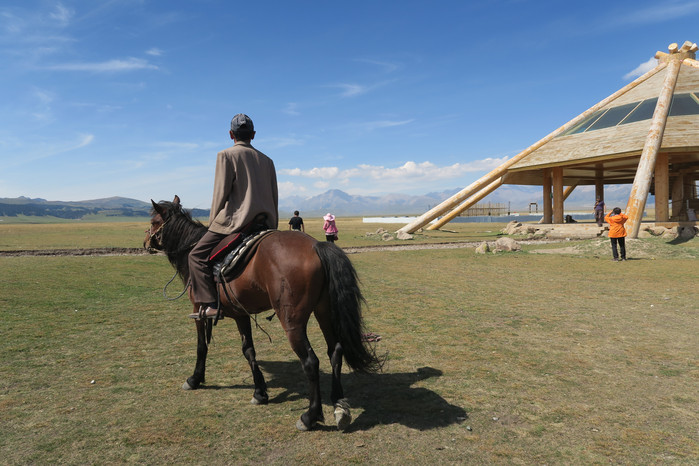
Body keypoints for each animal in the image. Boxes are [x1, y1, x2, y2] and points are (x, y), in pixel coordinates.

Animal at [144, 196, 382, 430]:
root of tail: (316, 246)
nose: (145, 242)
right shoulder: (240, 314)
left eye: (154, 221)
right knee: (335, 351)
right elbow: (248, 350)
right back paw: (340, 406)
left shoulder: (198, 309)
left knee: (311, 361)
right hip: (324, 311)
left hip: (292, 322)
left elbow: (202, 346)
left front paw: (194, 379)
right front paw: (260, 392)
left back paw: (310, 417)